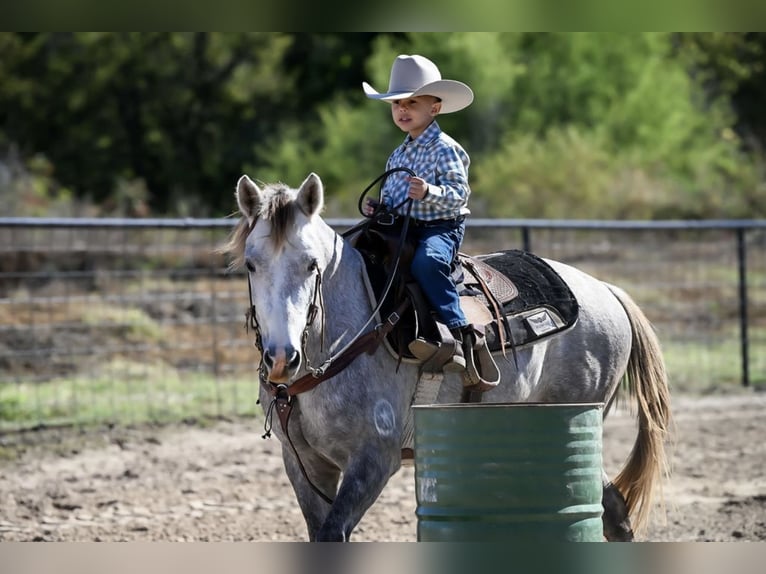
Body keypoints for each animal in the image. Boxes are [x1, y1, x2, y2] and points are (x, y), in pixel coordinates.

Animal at [221, 172, 672, 542]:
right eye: (251, 265)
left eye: (311, 264)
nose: (283, 358)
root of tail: (605, 288)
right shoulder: (302, 463)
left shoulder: (374, 459)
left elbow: (334, 533)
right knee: (612, 508)